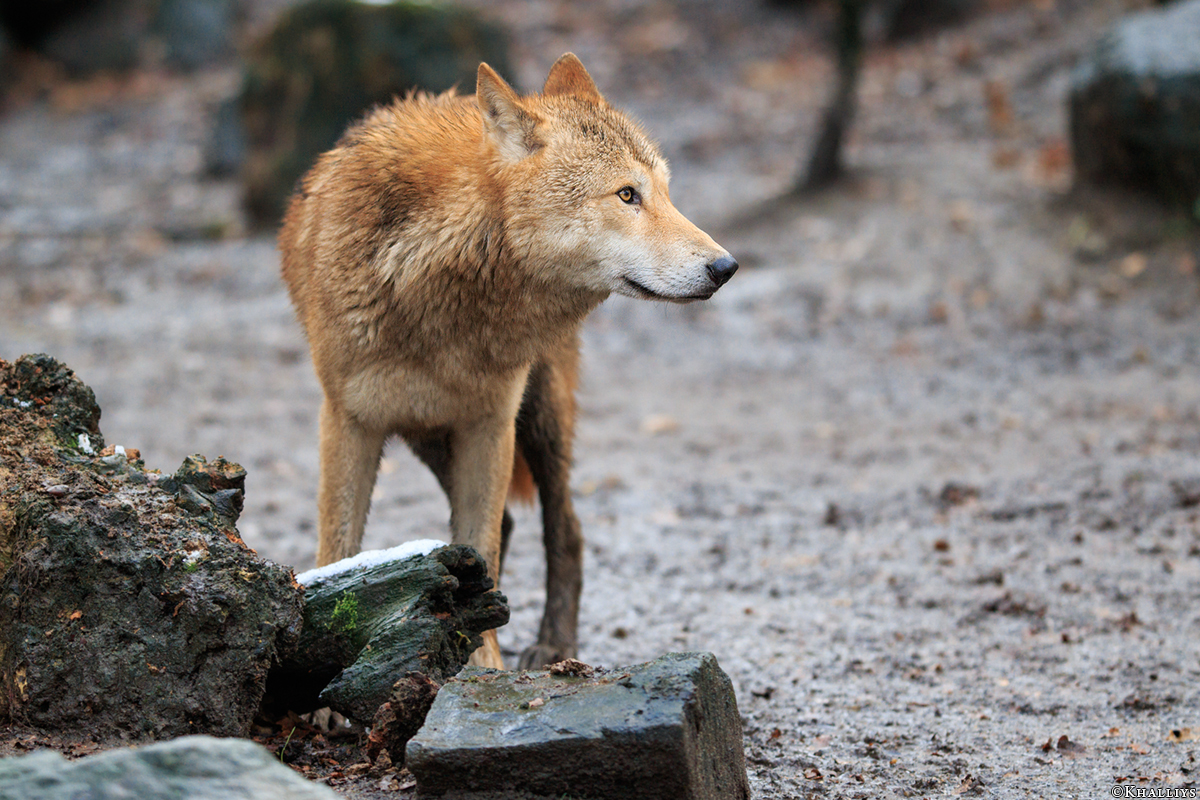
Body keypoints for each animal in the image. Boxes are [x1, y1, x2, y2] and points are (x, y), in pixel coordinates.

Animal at [279, 53, 737, 669]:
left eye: (665, 192)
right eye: (626, 195)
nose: (726, 267)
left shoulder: (491, 424)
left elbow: (486, 545)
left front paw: (484, 666)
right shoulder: (348, 420)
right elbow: (337, 546)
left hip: (539, 418)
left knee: (565, 528)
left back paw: (552, 645)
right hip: (431, 435)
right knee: (514, 525)